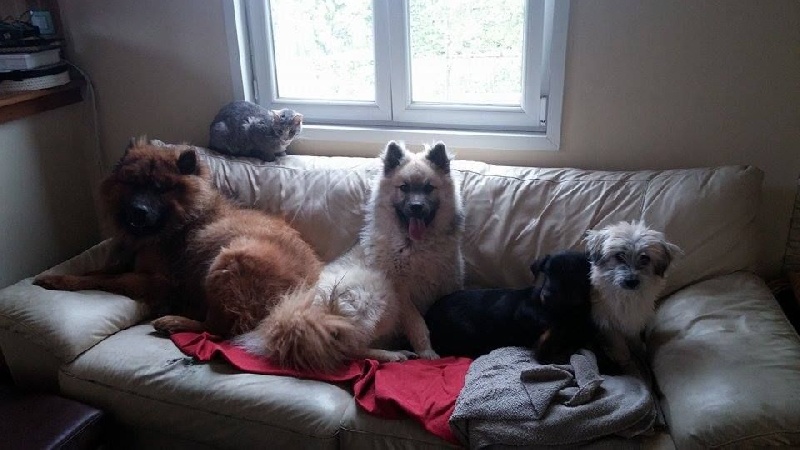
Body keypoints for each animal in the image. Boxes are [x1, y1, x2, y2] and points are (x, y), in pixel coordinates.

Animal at [34, 138, 322, 337]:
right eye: (132, 183)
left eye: (160, 188)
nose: (138, 211)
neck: (182, 220)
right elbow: (95, 271)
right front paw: (59, 276)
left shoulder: (159, 280)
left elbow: (105, 279)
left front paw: (62, 281)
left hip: (229, 260)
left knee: (219, 328)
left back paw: (173, 321)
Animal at [237, 140, 465, 372]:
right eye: (404, 188)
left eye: (428, 188)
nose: (416, 207)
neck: (416, 245)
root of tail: (299, 316)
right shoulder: (402, 293)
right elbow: (418, 324)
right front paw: (427, 352)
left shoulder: (446, 284)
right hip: (379, 290)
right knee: (350, 348)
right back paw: (391, 354)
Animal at [425, 251, 595, 363]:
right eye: (546, 273)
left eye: (570, 273)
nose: (546, 295)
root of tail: (428, 316)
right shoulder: (524, 309)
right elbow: (550, 326)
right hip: (466, 328)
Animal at [584, 220, 681, 365]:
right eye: (619, 256)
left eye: (645, 258)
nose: (631, 281)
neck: (627, 297)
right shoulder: (607, 323)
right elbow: (617, 341)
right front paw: (621, 355)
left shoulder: (634, 321)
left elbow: (634, 338)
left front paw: (639, 350)